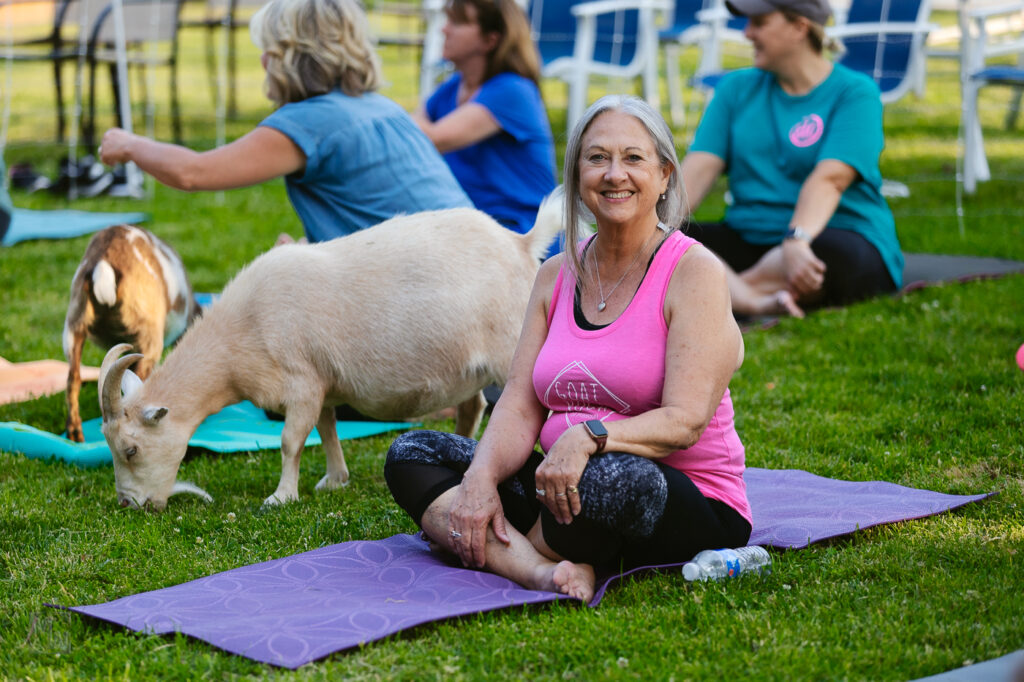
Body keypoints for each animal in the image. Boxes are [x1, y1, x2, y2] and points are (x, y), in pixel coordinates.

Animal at [99, 199, 565, 507]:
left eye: (131, 450)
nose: (127, 504)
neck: (243, 329)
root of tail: (521, 243)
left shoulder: (301, 380)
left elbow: (290, 441)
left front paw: (281, 497)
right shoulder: (321, 384)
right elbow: (326, 430)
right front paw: (334, 480)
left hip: (512, 348)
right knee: (472, 408)